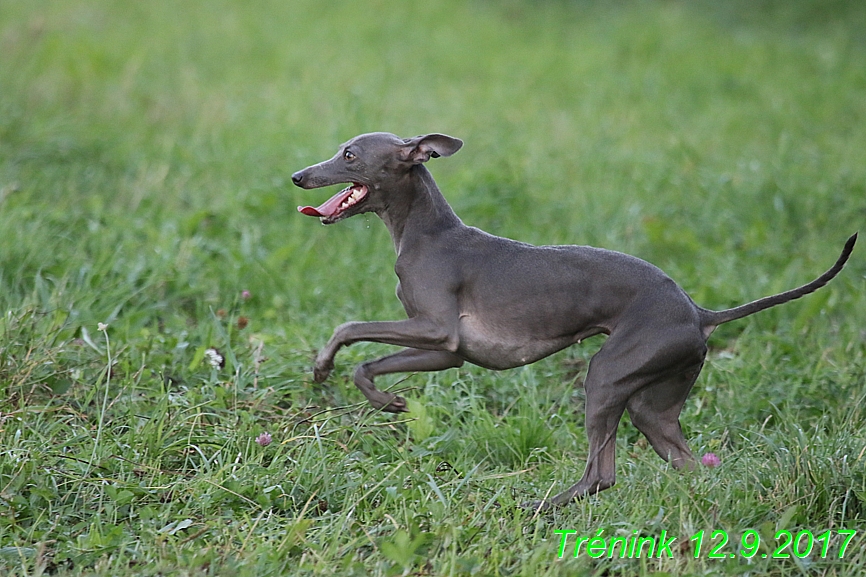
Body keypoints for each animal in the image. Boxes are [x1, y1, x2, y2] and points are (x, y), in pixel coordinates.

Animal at [292, 132, 856, 508]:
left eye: (349, 155)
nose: (298, 176)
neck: (426, 233)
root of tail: (700, 312)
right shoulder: (446, 353)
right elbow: (369, 361)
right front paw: (387, 399)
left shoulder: (437, 330)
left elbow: (350, 330)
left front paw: (338, 375)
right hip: (653, 406)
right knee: (690, 465)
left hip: (605, 377)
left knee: (601, 474)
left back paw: (539, 506)